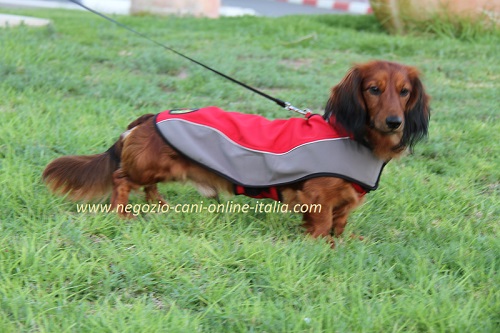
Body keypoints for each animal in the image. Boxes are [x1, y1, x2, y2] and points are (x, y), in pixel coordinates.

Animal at [44, 59, 430, 246]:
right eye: (373, 89)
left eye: (405, 91)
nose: (394, 122)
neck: (352, 136)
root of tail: (151, 118)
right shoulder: (317, 196)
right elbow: (321, 224)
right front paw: (324, 246)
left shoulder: (345, 201)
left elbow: (341, 221)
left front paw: (345, 239)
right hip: (149, 166)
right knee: (121, 178)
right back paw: (122, 212)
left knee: (147, 186)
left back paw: (160, 205)